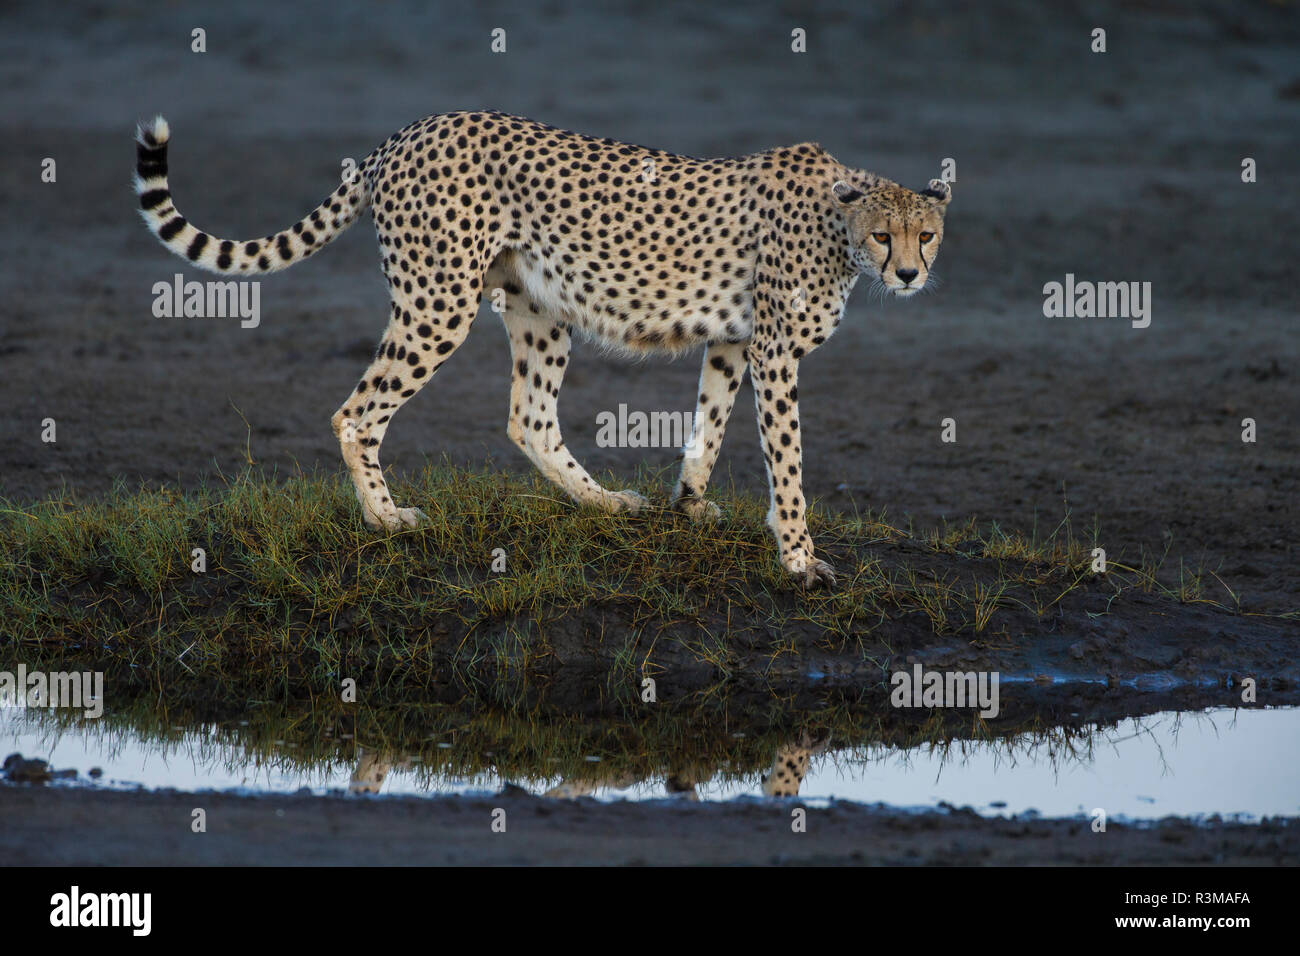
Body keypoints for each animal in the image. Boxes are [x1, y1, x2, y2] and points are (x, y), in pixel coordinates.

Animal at [137, 111, 951, 590]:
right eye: (887, 236)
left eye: (929, 235)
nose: (910, 274)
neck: (841, 226)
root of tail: (411, 130)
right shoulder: (774, 352)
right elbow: (788, 461)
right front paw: (800, 559)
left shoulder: (734, 341)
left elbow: (710, 427)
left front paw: (689, 504)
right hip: (439, 301)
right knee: (357, 413)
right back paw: (386, 520)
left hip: (536, 305)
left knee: (528, 416)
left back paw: (603, 502)